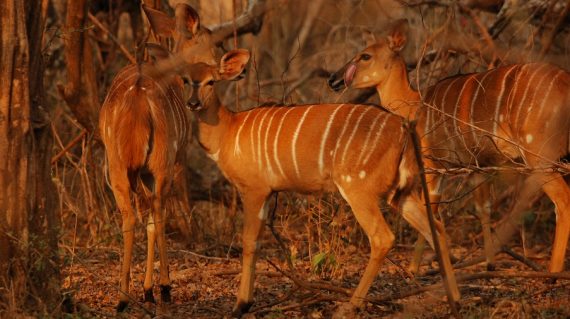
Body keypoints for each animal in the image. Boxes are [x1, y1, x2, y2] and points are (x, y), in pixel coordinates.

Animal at [184, 49, 460, 318]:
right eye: (186, 80)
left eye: (211, 81)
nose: (192, 103)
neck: (228, 131)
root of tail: (403, 127)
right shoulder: (267, 193)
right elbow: (258, 242)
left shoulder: (254, 190)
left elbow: (249, 242)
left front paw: (240, 305)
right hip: (399, 192)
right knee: (436, 227)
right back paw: (454, 300)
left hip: (358, 188)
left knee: (383, 237)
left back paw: (350, 306)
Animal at [326, 20, 564, 276]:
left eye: (365, 55)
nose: (333, 79)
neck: (414, 105)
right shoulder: (476, 166)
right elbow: (483, 206)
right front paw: (489, 263)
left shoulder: (433, 163)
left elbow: (431, 207)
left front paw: (414, 267)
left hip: (538, 154)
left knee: (562, 201)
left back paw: (553, 272)